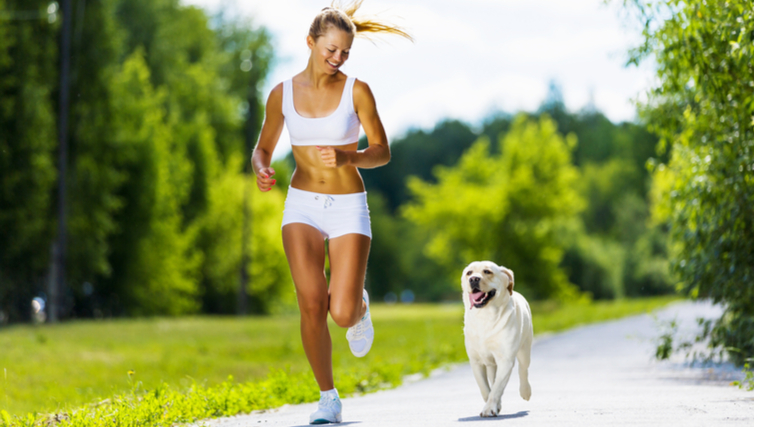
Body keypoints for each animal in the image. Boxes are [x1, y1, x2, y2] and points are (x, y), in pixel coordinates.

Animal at [460, 260, 532, 418]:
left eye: (487, 271)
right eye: (469, 273)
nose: (473, 279)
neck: (485, 315)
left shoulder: (505, 359)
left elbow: (497, 387)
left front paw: (489, 408)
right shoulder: (476, 361)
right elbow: (485, 387)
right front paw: (494, 405)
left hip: (525, 349)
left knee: (523, 370)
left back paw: (526, 392)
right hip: (491, 363)